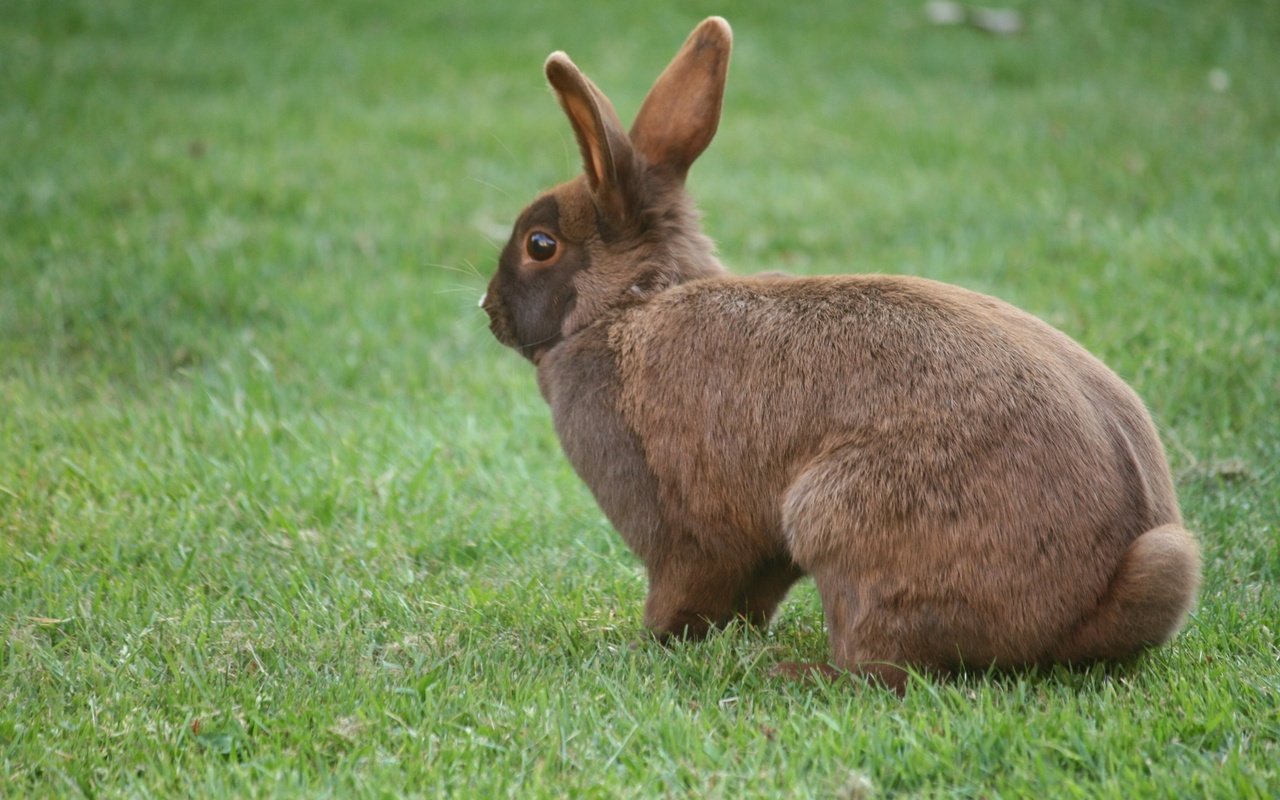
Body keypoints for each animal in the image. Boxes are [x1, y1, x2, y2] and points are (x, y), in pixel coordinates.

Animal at [481, 15, 1198, 691]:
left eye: (540, 245)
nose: (488, 310)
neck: (626, 307)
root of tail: (1090, 606)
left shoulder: (681, 529)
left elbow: (684, 590)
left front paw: (644, 642)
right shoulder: (759, 552)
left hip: (840, 519)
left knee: (881, 665)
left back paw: (798, 674)